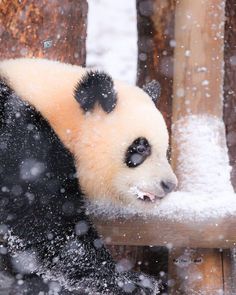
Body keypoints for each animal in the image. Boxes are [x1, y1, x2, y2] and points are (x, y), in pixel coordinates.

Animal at [0, 59, 176, 294]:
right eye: (140, 148)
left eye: (165, 150)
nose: (169, 185)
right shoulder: (23, 145)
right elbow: (50, 227)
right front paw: (131, 281)